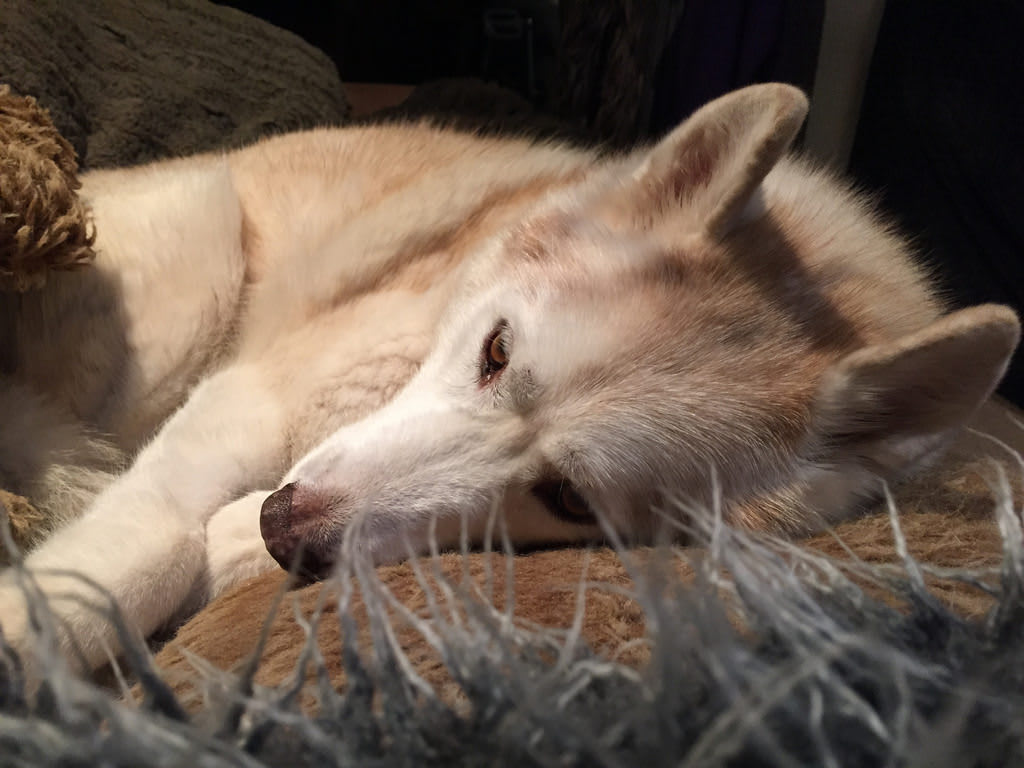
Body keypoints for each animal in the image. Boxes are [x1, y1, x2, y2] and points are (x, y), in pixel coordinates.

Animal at [0, 84, 1017, 673]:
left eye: (569, 499)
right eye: (495, 351)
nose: (285, 527)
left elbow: (213, 542)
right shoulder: (254, 402)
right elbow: (158, 535)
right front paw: (35, 624)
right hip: (203, 255)